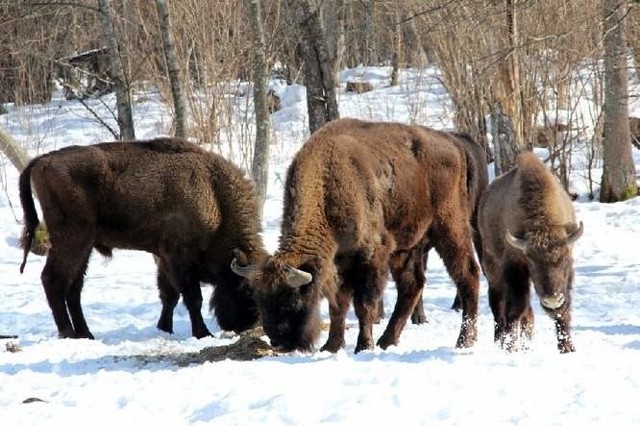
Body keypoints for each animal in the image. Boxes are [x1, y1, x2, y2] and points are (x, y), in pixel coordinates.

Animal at [18, 138, 266, 342]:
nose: (245, 325)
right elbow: (192, 297)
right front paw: (203, 333)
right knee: (53, 279)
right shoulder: (178, 258)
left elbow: (169, 295)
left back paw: (86, 334)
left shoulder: (164, 258)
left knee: (74, 286)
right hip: (71, 239)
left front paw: (164, 329)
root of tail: (44, 159)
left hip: (85, 246)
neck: (213, 194)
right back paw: (68, 333)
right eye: (246, 289)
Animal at [230, 118, 480, 354]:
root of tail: (454, 144)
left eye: (293, 298)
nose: (279, 341)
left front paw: (363, 346)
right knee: (412, 285)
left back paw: (464, 342)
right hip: (407, 247)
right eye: (259, 299)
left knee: (468, 275)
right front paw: (331, 346)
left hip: (450, 228)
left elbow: (364, 305)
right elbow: (338, 305)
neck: (327, 183)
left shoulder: (371, 256)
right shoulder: (340, 262)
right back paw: (387, 341)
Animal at [478, 150, 584, 352]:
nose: (552, 301)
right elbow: (514, 308)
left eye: (565, 261)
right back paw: (500, 342)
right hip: (491, 267)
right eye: (532, 264)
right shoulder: (515, 267)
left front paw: (567, 348)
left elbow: (563, 310)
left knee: (527, 312)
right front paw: (509, 347)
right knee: (499, 306)